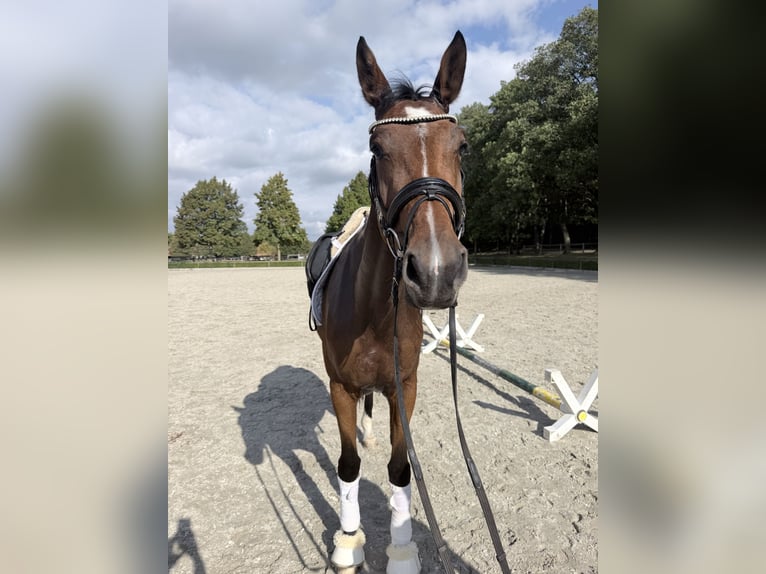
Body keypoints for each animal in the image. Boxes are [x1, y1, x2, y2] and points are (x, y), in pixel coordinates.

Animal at [313, 32, 468, 573]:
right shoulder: (340, 386)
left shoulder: (406, 386)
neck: (375, 314)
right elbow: (347, 465)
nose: (437, 271)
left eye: (462, 147)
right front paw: (347, 540)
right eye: (377, 149)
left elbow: (402, 469)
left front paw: (401, 551)